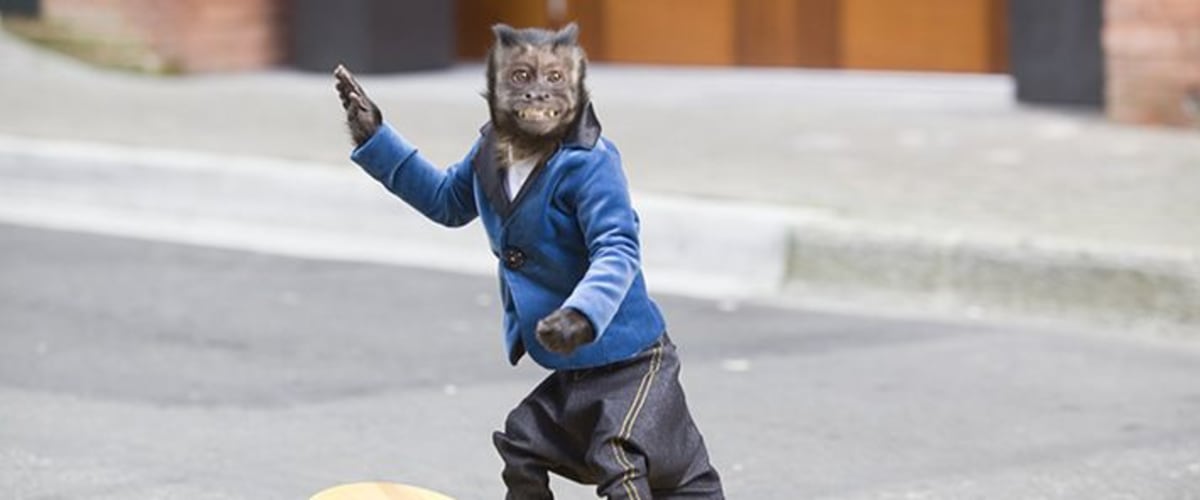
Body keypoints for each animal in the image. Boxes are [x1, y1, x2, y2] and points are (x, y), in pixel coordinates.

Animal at [335, 23, 724, 499]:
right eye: (520, 74)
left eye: (555, 77)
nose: (537, 94)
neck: (533, 147)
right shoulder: (477, 158)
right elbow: (444, 198)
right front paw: (363, 117)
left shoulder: (596, 177)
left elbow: (613, 243)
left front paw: (569, 323)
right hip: (553, 421)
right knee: (519, 448)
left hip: (641, 392)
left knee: (624, 460)